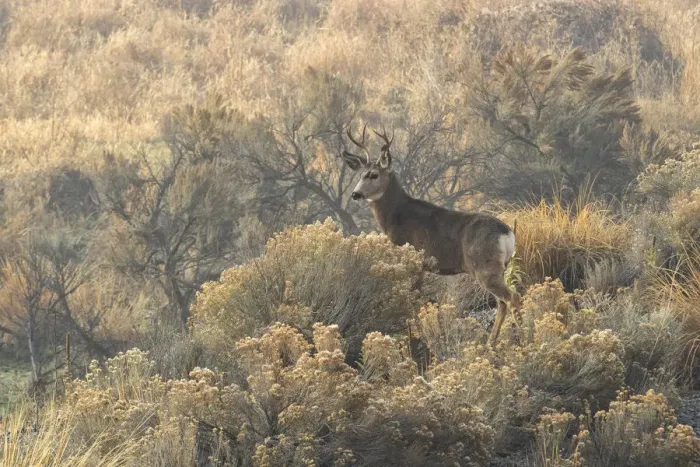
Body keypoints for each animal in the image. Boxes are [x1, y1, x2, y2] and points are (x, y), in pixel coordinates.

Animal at [341, 124, 522, 345]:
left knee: (512, 298)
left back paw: (525, 337)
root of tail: (507, 233)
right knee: (502, 302)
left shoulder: (417, 260)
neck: (397, 215)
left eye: (373, 174)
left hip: (485, 268)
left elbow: (412, 300)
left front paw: (413, 338)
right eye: (360, 174)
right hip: (497, 268)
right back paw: (491, 343)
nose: (355, 194)